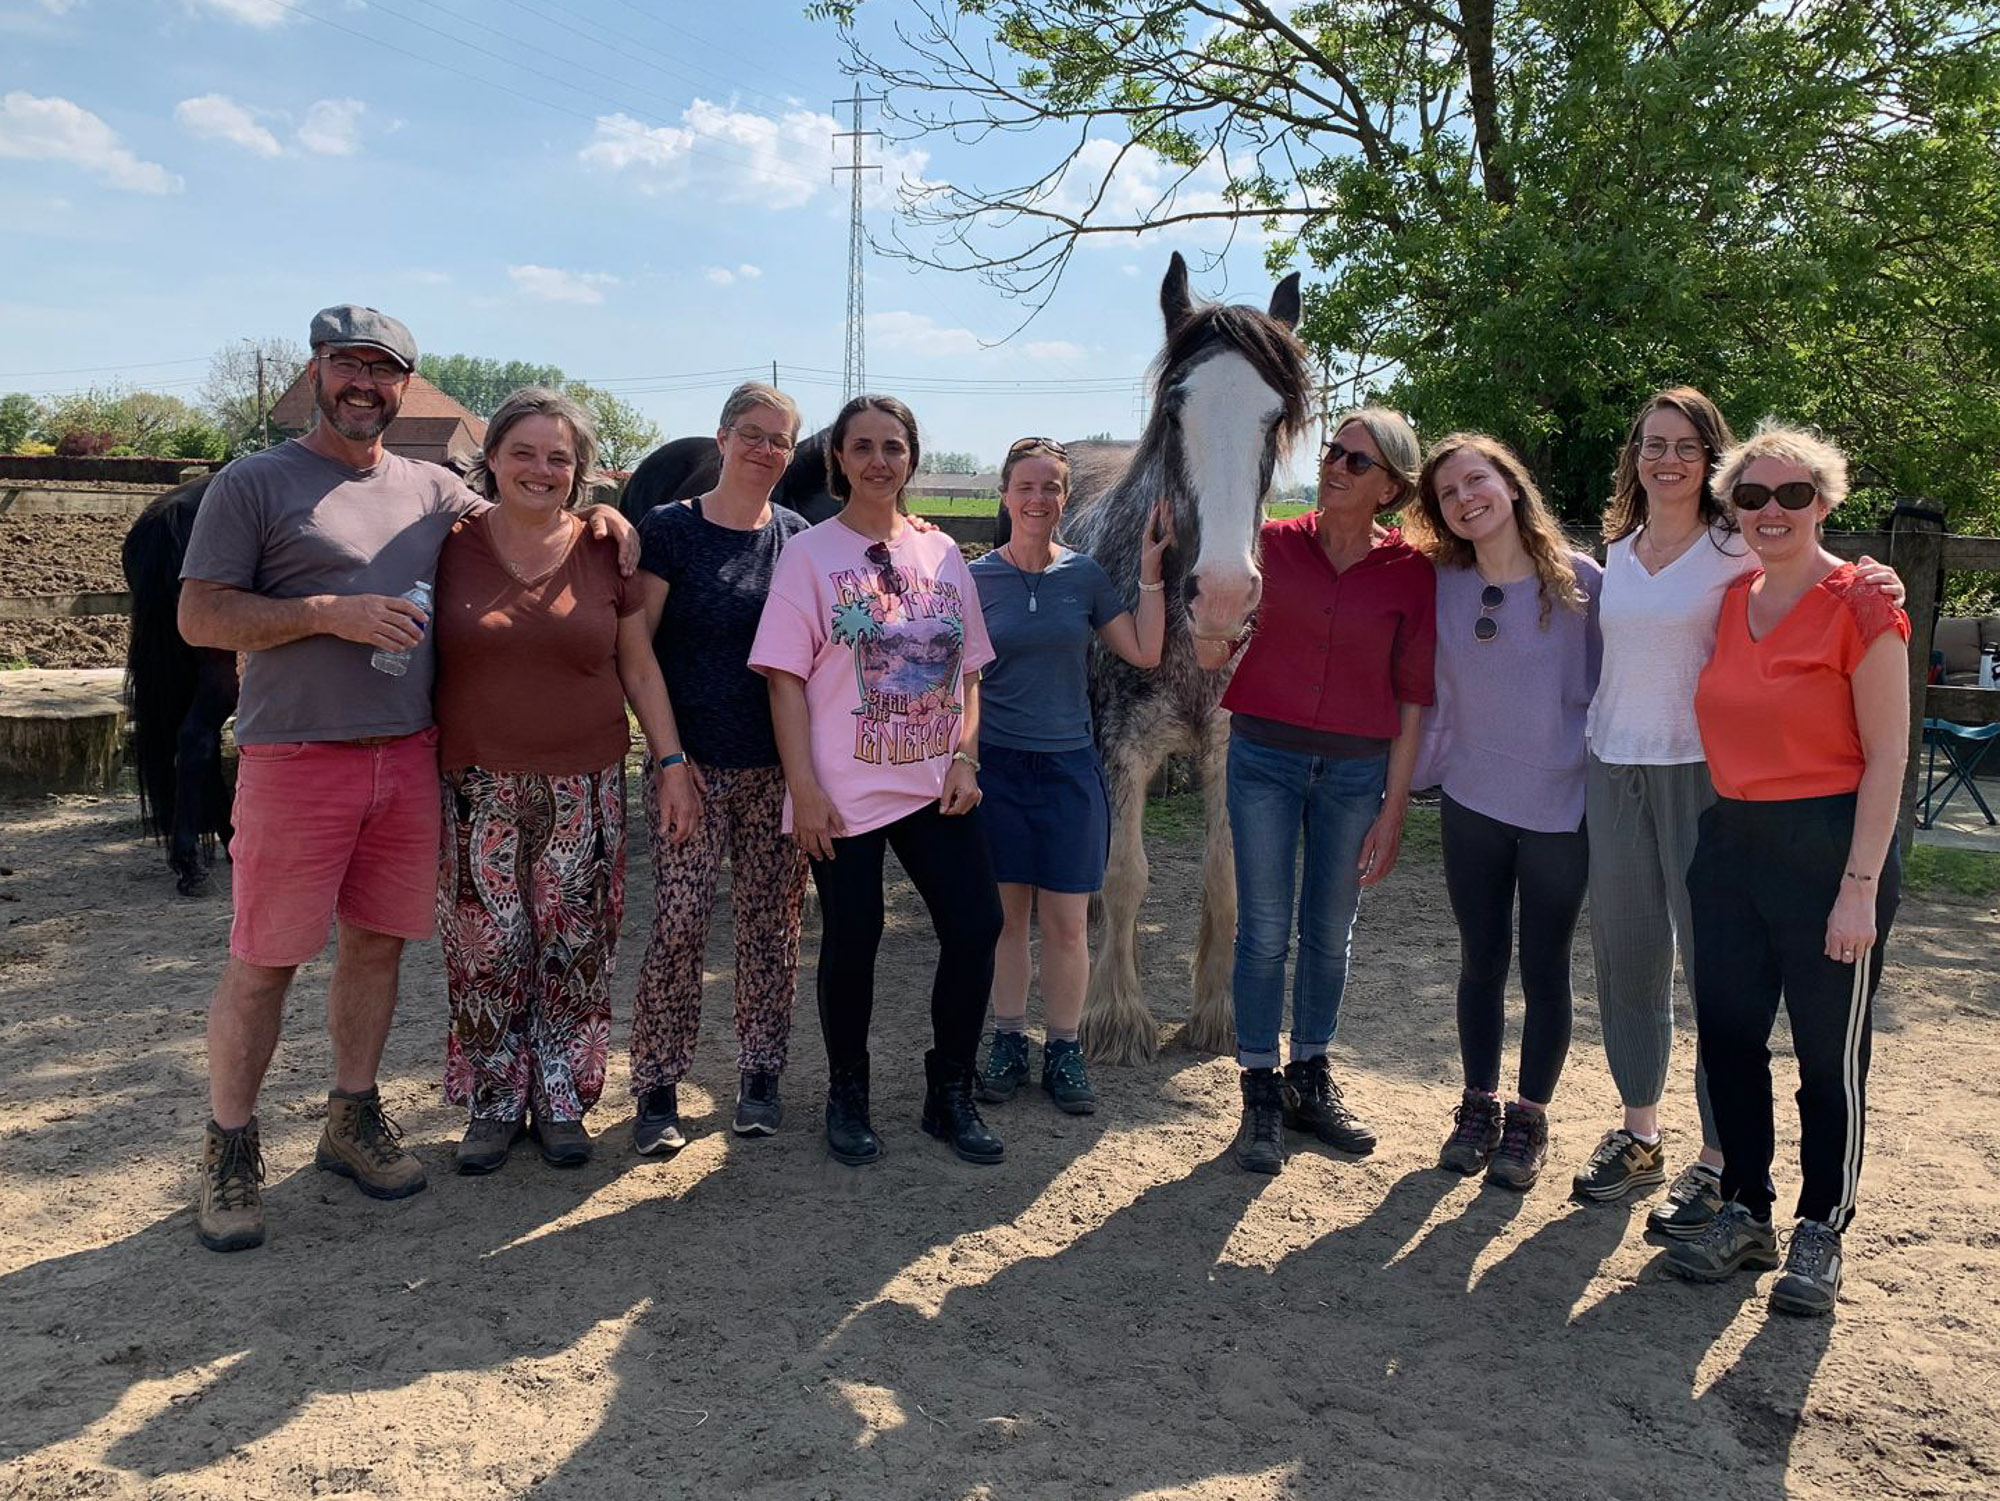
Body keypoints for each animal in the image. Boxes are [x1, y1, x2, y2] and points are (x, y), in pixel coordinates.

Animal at [1063, 252, 1311, 1065]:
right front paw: (1114, 1014)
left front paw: (1218, 1010)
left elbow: (1226, 878)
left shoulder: (1230, 752)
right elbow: (1125, 874)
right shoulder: (1124, 751)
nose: (1227, 595)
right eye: (1175, 411)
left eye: (1275, 416)